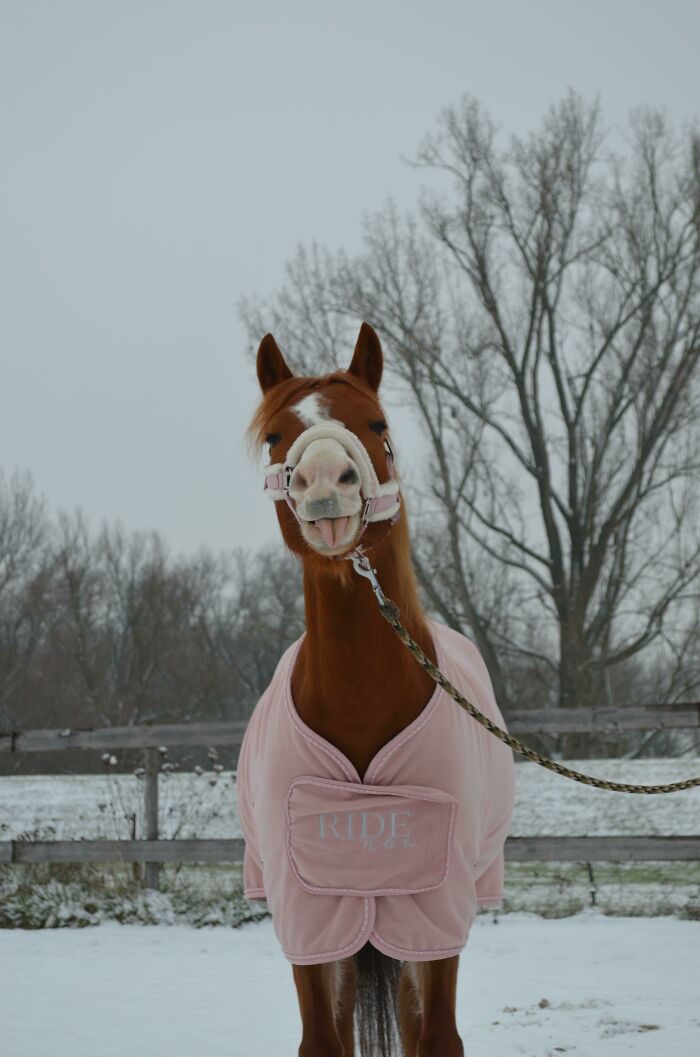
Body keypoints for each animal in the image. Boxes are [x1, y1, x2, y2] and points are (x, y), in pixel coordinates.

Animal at [238, 322, 515, 1057]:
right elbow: (322, 1041)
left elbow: (436, 1037)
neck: (361, 705)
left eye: (377, 423)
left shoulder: (435, 914)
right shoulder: (309, 918)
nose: (323, 483)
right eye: (275, 435)